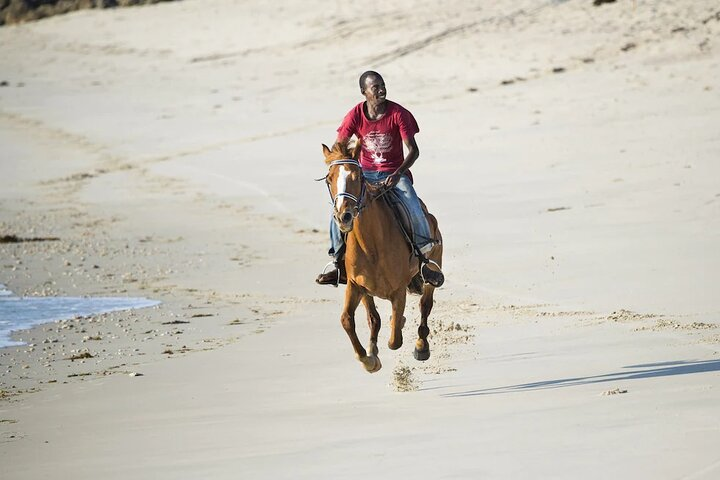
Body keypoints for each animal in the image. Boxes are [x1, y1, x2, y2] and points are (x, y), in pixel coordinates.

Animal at [321, 141, 444, 373]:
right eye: (329, 179)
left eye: (358, 177)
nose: (344, 216)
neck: (371, 246)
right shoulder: (355, 285)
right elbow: (349, 319)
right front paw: (369, 359)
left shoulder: (398, 290)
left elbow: (395, 339)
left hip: (433, 267)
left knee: (425, 304)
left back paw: (421, 346)